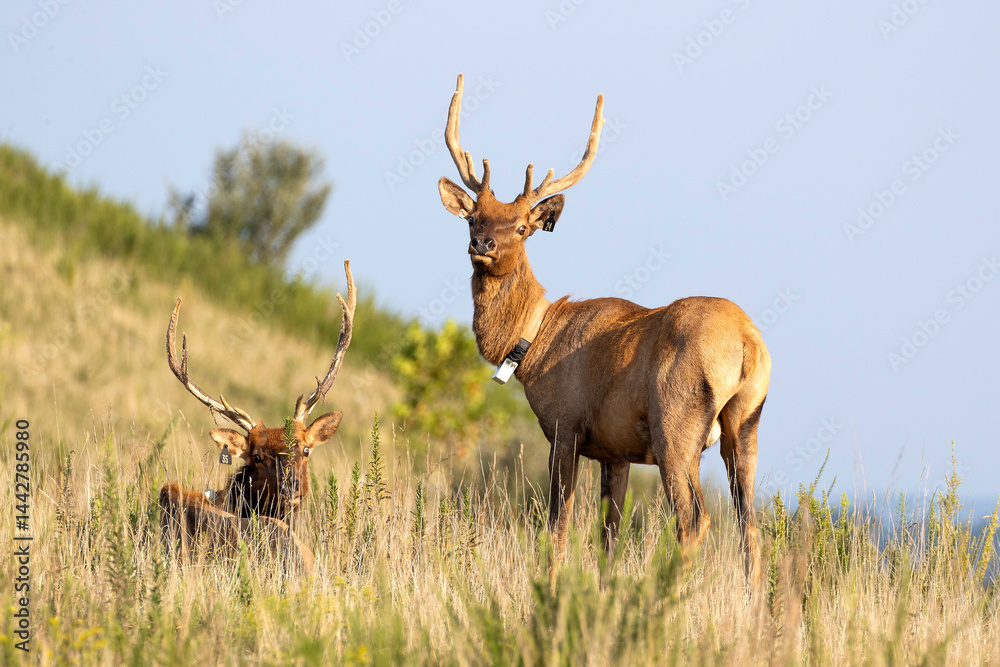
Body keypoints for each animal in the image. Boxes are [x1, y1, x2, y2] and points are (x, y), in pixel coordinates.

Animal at [437, 75, 771, 586]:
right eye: (473, 216)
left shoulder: (566, 425)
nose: (483, 244)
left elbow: (558, 525)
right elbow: (607, 536)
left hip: (676, 423)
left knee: (695, 519)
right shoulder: (616, 450)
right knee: (749, 526)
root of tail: (749, 346)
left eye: (522, 226)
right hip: (746, 423)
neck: (533, 344)